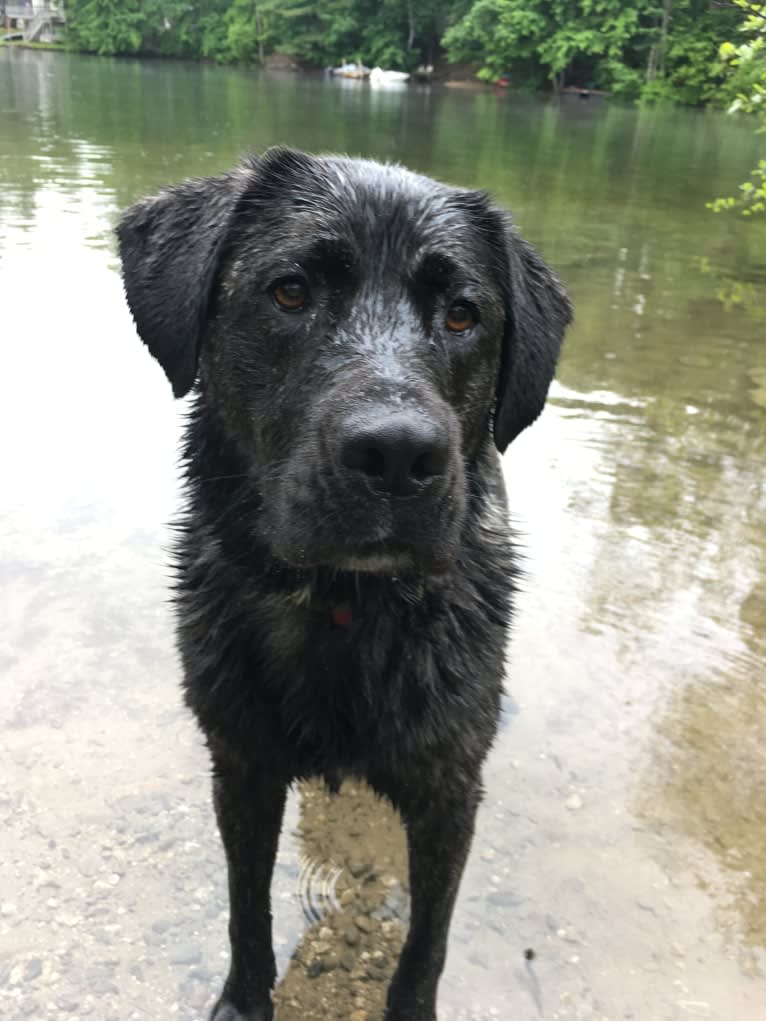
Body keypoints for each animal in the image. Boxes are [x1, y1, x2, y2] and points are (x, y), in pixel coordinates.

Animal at [118, 146, 571, 1021]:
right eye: (291, 290)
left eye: (463, 314)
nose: (397, 454)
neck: (345, 609)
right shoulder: (242, 767)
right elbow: (245, 908)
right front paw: (244, 1000)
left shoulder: (448, 792)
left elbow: (427, 944)